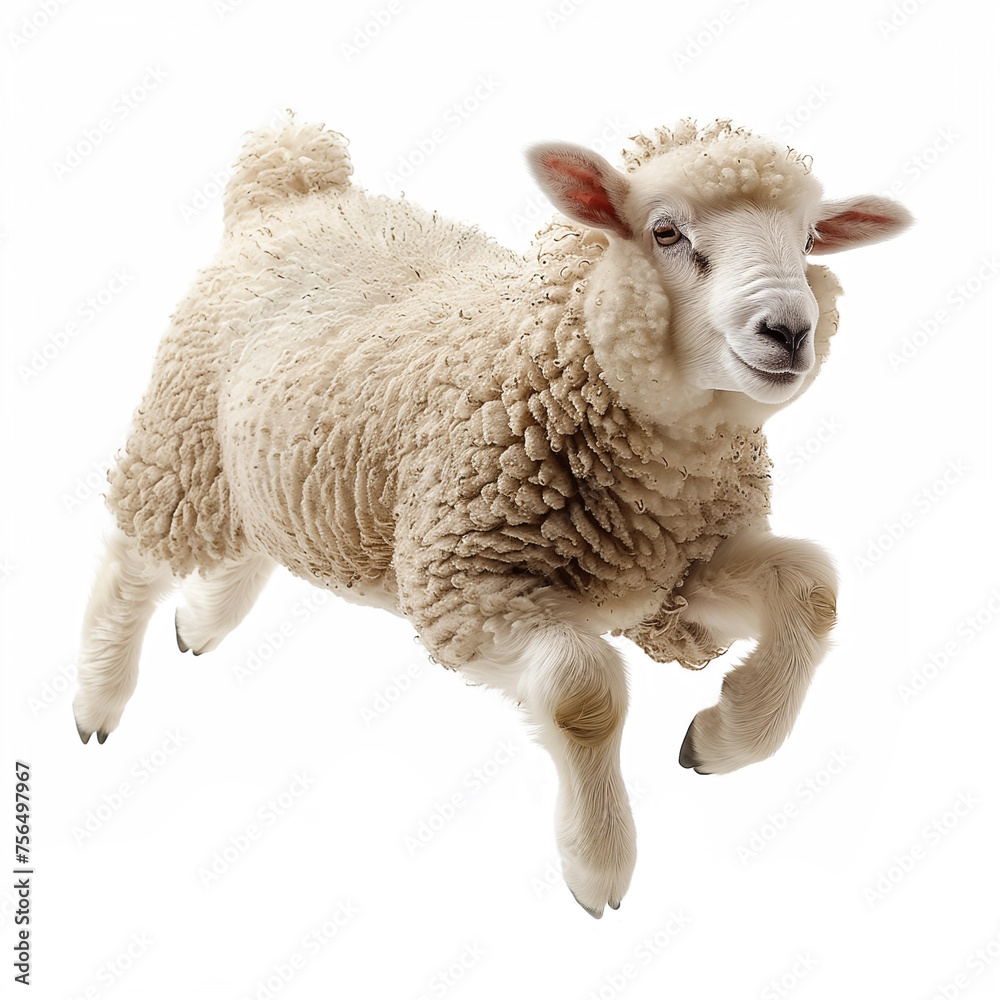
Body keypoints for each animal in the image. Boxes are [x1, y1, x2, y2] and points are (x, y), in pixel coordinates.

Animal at [73, 117, 911, 917]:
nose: (790, 331)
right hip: (183, 444)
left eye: (810, 239)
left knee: (257, 539)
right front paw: (599, 864)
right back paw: (97, 701)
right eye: (667, 232)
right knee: (131, 560)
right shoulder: (462, 581)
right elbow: (582, 689)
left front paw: (727, 738)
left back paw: (201, 623)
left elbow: (812, 590)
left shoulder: (672, 573)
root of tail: (289, 184)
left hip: (273, 462)